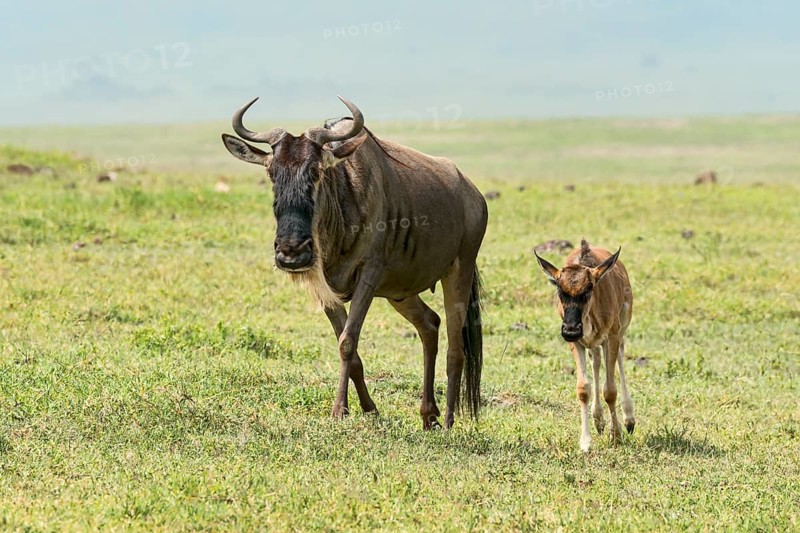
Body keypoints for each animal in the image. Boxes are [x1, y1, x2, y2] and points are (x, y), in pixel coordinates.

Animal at [535, 240, 635, 451]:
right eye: (560, 289)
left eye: (589, 288)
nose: (571, 329)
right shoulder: (577, 343)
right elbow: (583, 389)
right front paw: (586, 442)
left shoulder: (611, 336)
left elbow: (610, 390)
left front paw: (616, 435)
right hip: (593, 344)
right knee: (596, 361)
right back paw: (598, 420)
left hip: (622, 327)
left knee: (620, 358)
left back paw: (629, 419)